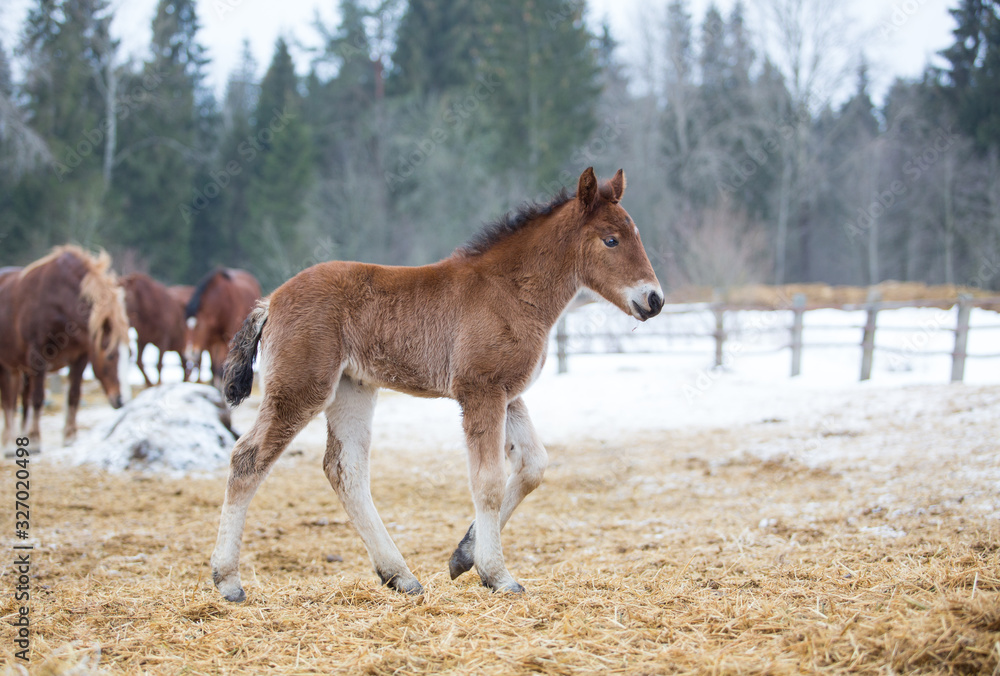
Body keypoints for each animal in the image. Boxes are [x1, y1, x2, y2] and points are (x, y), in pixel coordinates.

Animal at [0, 246, 131, 449]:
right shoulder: (37, 357)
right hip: (7, 366)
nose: (122, 400)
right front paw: (35, 440)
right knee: (8, 400)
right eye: (111, 356)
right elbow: (37, 398)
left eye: (130, 355)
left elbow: (74, 396)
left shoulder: (80, 357)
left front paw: (70, 436)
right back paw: (8, 444)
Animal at [210, 168, 664, 602]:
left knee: (345, 470)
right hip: (301, 389)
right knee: (248, 460)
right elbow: (488, 482)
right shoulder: (481, 391)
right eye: (610, 240)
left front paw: (463, 557)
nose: (654, 300)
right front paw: (497, 575)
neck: (510, 291)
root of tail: (271, 300)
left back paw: (400, 576)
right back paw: (228, 581)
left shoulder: (508, 394)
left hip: (353, 389)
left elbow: (533, 465)